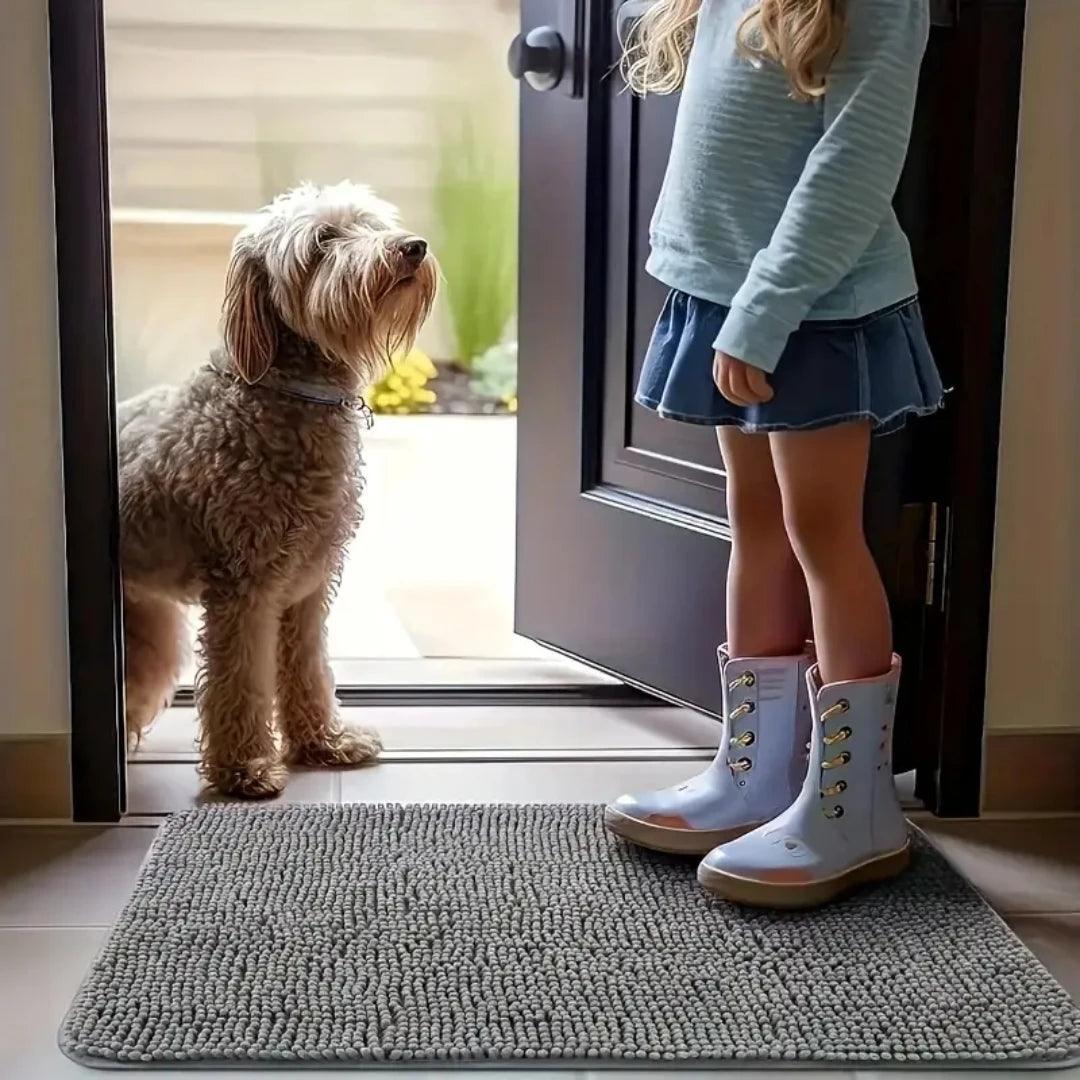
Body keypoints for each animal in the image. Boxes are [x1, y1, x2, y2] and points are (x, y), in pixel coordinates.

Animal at [117, 181, 434, 799]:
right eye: (324, 240)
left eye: (369, 223)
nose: (412, 247)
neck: (285, 394)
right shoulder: (243, 590)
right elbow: (239, 683)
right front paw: (244, 768)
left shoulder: (307, 587)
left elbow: (308, 668)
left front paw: (324, 742)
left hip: (147, 627)